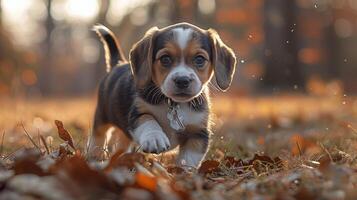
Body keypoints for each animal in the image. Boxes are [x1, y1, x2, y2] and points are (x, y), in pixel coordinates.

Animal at [87, 21, 235, 168]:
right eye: (165, 59)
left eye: (199, 59)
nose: (182, 80)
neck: (174, 103)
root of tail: (118, 64)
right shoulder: (137, 114)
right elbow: (148, 120)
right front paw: (155, 138)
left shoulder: (198, 133)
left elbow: (189, 159)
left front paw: (184, 172)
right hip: (101, 117)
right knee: (98, 136)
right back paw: (95, 156)